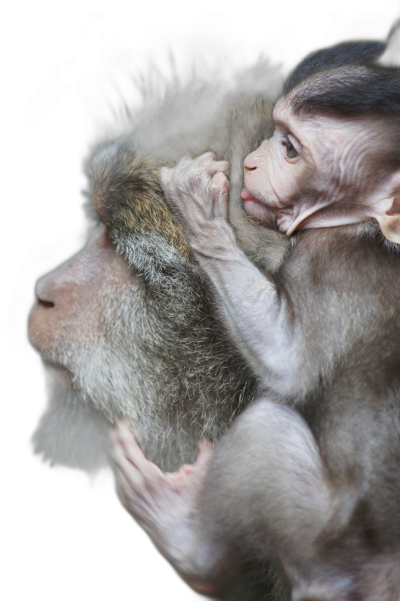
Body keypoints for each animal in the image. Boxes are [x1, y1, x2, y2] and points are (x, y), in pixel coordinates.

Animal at [108, 24, 400, 600]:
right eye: (274, 133)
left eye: (288, 149)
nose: (249, 163)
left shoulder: (331, 262)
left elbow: (288, 363)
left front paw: (198, 210)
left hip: (327, 549)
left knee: (267, 429)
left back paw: (189, 547)